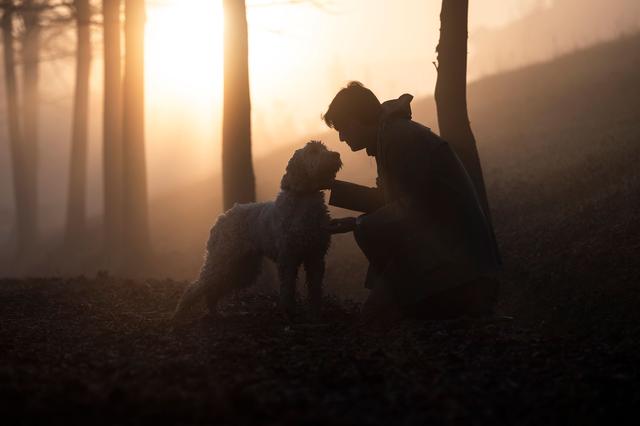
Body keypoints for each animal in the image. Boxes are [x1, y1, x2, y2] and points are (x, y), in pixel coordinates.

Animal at [170, 141, 340, 322]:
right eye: (313, 151)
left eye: (324, 148)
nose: (336, 155)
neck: (305, 198)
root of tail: (222, 217)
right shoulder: (288, 258)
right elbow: (288, 289)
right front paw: (289, 312)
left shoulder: (315, 256)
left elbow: (315, 290)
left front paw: (315, 315)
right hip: (222, 261)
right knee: (196, 287)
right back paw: (179, 315)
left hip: (242, 267)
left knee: (213, 290)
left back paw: (215, 312)